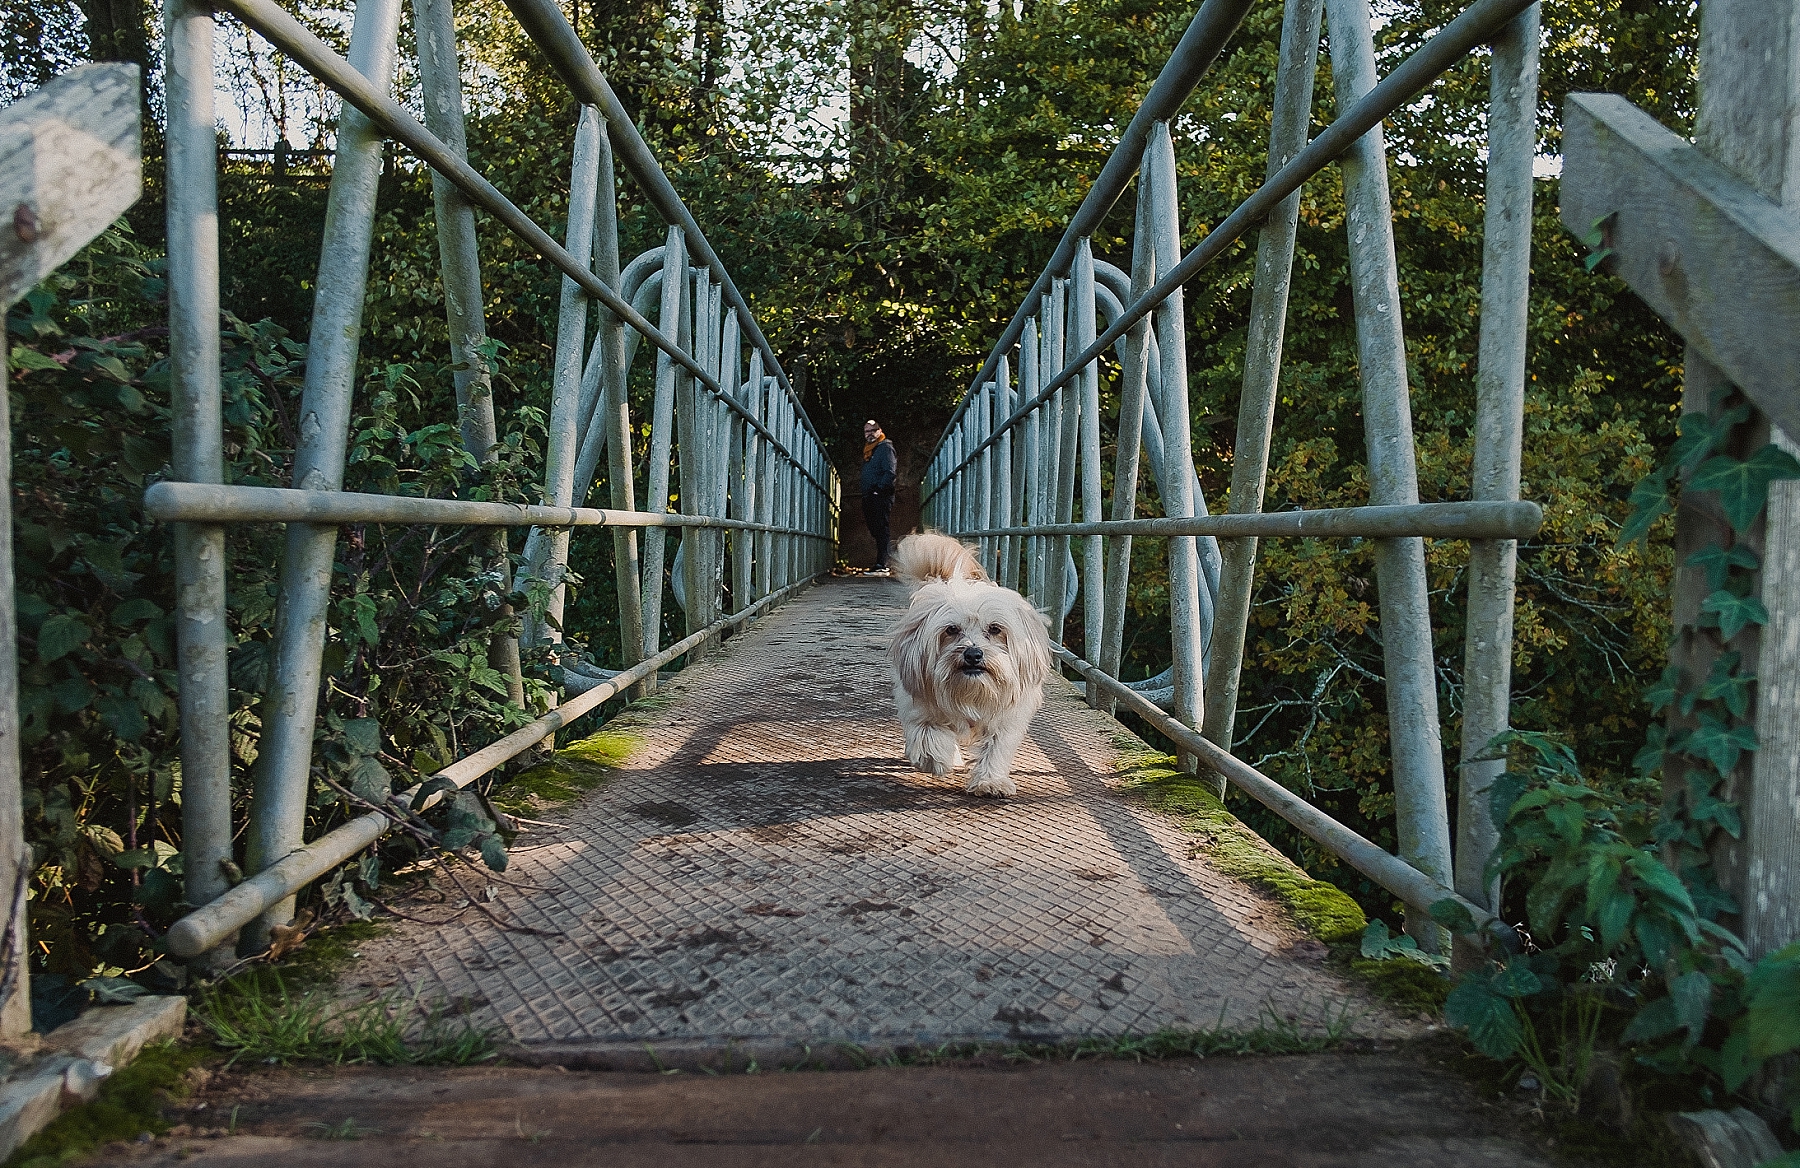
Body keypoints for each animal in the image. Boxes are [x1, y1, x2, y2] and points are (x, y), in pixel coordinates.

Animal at [889, 532, 1051, 795]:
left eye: (995, 629)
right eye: (951, 630)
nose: (973, 654)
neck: (971, 691)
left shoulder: (1005, 721)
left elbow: (996, 749)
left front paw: (990, 782)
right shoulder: (919, 706)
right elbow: (928, 733)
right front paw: (937, 758)